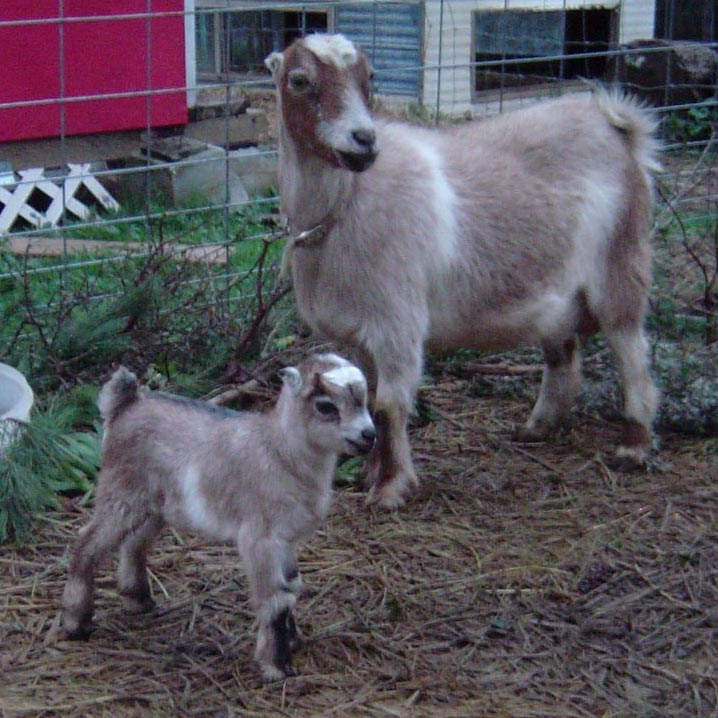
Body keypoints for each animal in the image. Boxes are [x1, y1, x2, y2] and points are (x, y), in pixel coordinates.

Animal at [61, 354, 376, 680]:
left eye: (365, 399)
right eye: (326, 406)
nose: (370, 435)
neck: (279, 452)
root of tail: (126, 403)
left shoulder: (287, 539)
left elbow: (291, 588)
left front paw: (293, 641)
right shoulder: (260, 538)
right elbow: (276, 599)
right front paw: (276, 666)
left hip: (155, 503)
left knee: (134, 543)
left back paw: (139, 600)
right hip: (121, 492)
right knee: (86, 544)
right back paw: (76, 623)